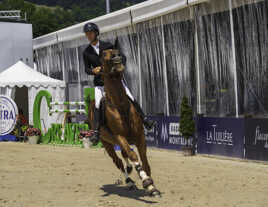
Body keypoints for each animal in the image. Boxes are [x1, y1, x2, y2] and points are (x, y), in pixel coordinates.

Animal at [88, 49, 160, 196]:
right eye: (103, 56)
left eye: (117, 51)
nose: (116, 57)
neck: (120, 106)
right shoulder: (119, 137)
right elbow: (133, 155)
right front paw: (147, 182)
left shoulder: (140, 136)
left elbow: (144, 161)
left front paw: (152, 187)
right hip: (107, 142)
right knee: (118, 161)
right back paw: (130, 182)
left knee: (124, 155)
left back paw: (130, 170)